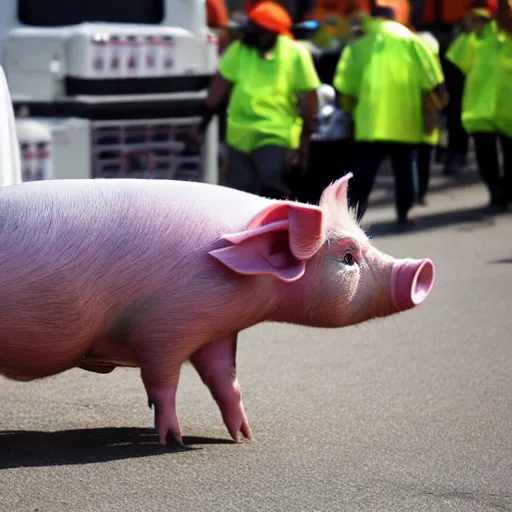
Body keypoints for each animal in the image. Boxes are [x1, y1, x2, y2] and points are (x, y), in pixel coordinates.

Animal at [0, 174, 436, 446]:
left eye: (366, 240)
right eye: (347, 256)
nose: (422, 269)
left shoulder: (217, 326)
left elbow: (225, 381)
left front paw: (244, 436)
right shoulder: (165, 326)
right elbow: (163, 382)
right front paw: (172, 441)